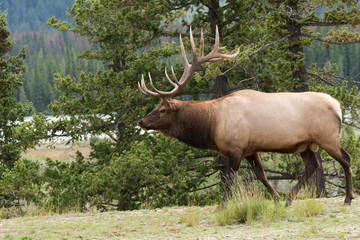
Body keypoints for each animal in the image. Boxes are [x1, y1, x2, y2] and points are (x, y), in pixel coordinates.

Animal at [138, 26, 354, 206]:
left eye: (162, 109)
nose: (141, 121)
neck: (213, 124)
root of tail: (338, 106)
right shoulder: (250, 149)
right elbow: (261, 175)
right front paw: (276, 198)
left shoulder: (236, 147)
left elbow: (229, 179)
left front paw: (222, 206)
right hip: (305, 143)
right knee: (312, 165)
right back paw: (289, 199)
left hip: (327, 137)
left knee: (346, 158)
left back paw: (348, 198)